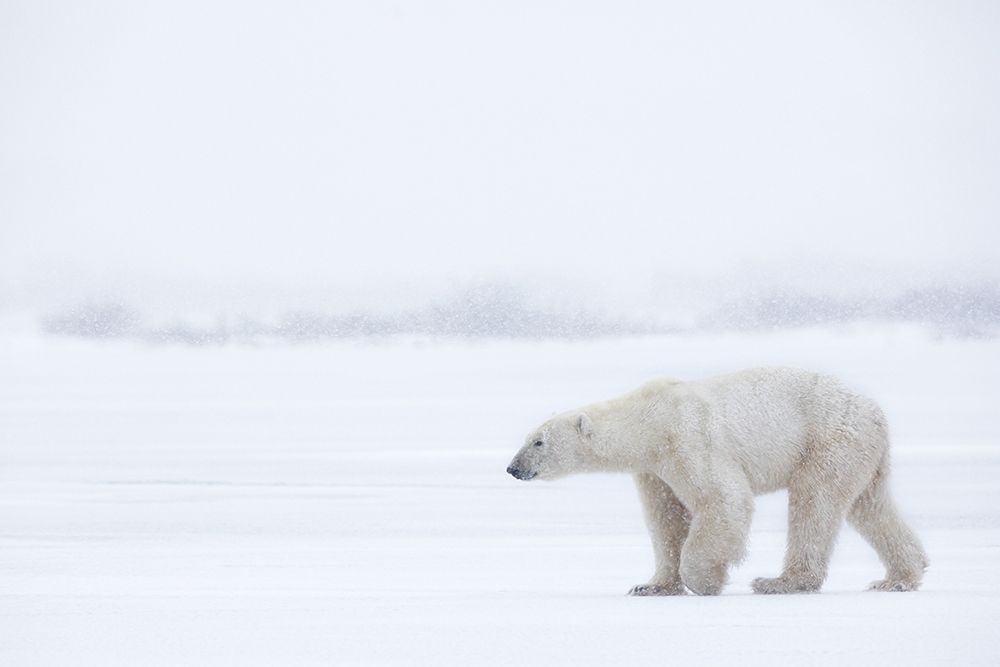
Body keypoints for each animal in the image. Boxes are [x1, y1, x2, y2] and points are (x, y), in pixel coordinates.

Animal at [508, 370, 928, 596]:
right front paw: (650, 586)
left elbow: (724, 498)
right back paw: (899, 577)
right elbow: (666, 520)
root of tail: (876, 412)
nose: (513, 468)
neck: (648, 420)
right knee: (870, 506)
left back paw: (779, 581)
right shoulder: (654, 469)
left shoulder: (687, 438)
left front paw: (707, 579)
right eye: (527, 437)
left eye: (538, 441)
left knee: (814, 503)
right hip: (861, 453)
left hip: (827, 440)